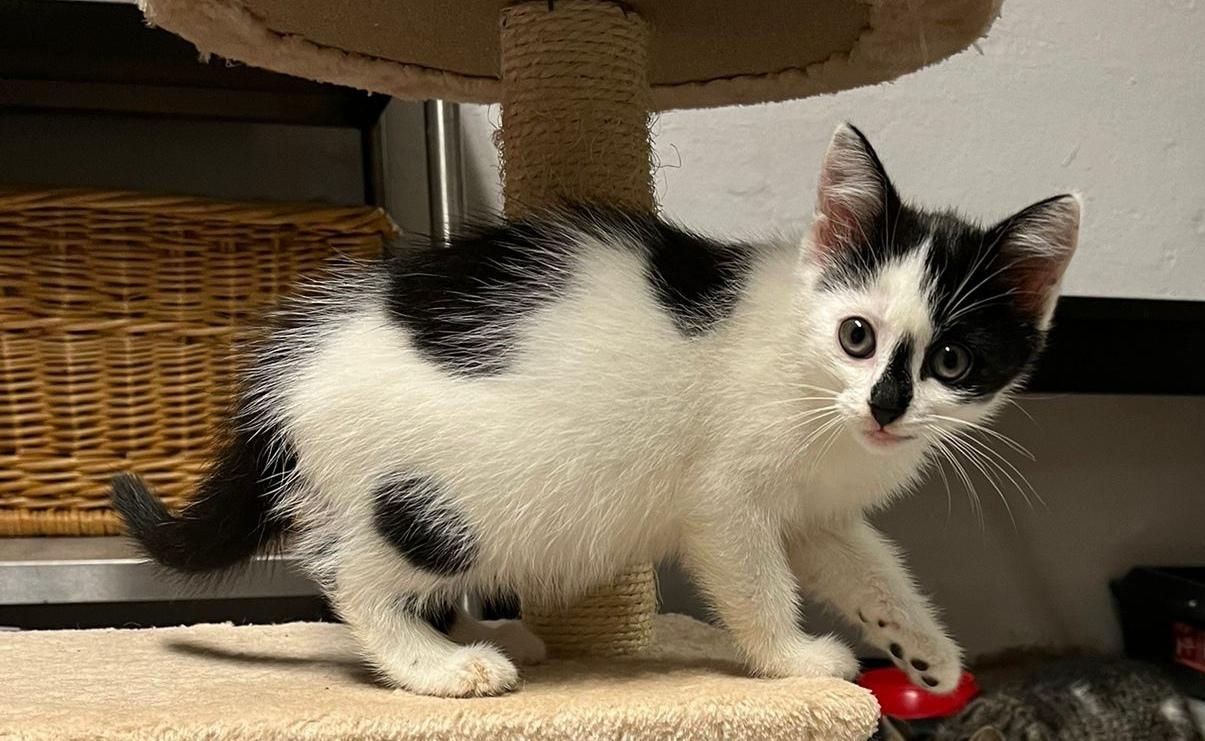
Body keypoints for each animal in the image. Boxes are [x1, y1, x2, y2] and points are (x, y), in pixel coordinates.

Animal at [113, 124, 1081, 698]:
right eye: (856, 335)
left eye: (951, 360)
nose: (884, 404)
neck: (815, 396)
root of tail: (286, 369)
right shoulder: (723, 497)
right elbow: (752, 576)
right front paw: (793, 659)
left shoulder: (817, 506)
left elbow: (867, 565)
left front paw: (924, 648)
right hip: (447, 494)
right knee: (353, 571)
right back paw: (438, 663)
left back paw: (486, 627)